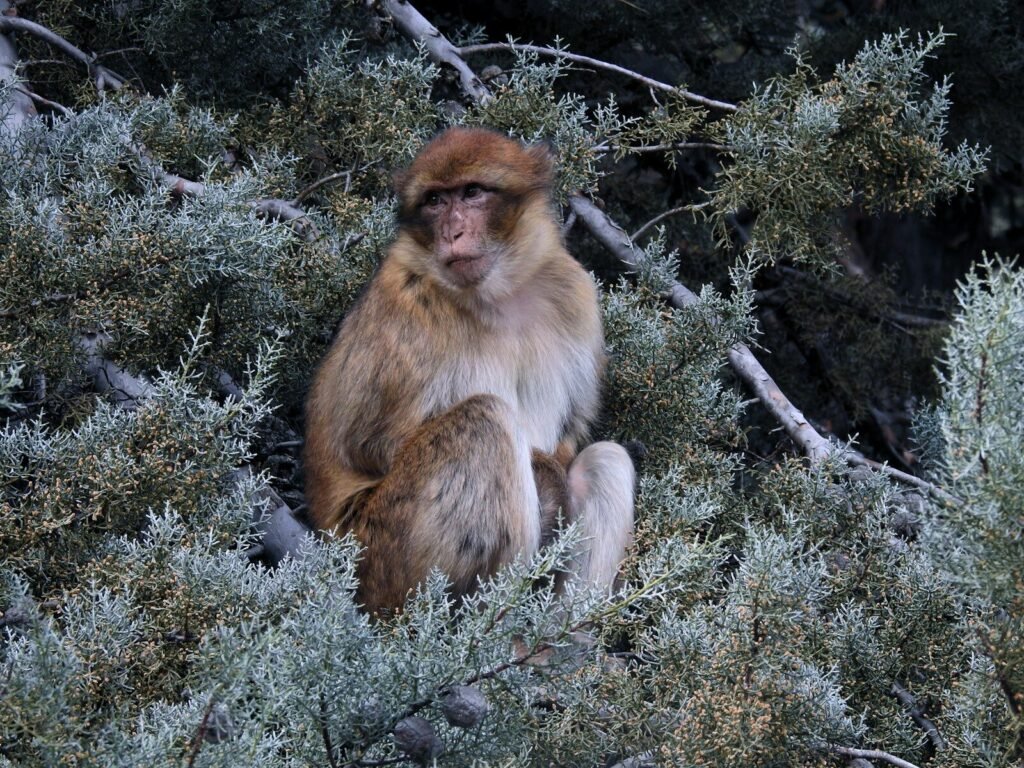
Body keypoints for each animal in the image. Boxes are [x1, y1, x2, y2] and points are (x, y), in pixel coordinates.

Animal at [304, 126, 634, 614]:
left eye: (473, 192)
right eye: (435, 201)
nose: (453, 232)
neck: (499, 295)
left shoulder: (574, 291)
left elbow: (571, 435)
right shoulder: (406, 307)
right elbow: (370, 446)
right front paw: (547, 481)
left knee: (605, 460)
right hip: (380, 556)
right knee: (485, 419)